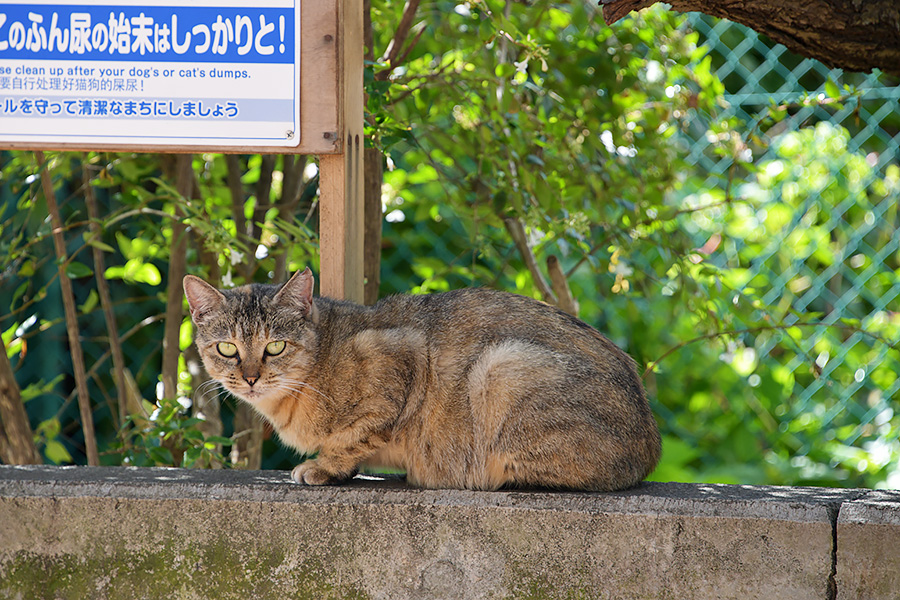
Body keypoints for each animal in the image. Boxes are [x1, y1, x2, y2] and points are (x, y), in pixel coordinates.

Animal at [183, 270, 660, 490]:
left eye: (276, 347)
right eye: (227, 349)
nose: (249, 378)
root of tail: (650, 445)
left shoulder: (404, 357)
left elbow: (356, 436)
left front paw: (324, 466)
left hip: (502, 366)